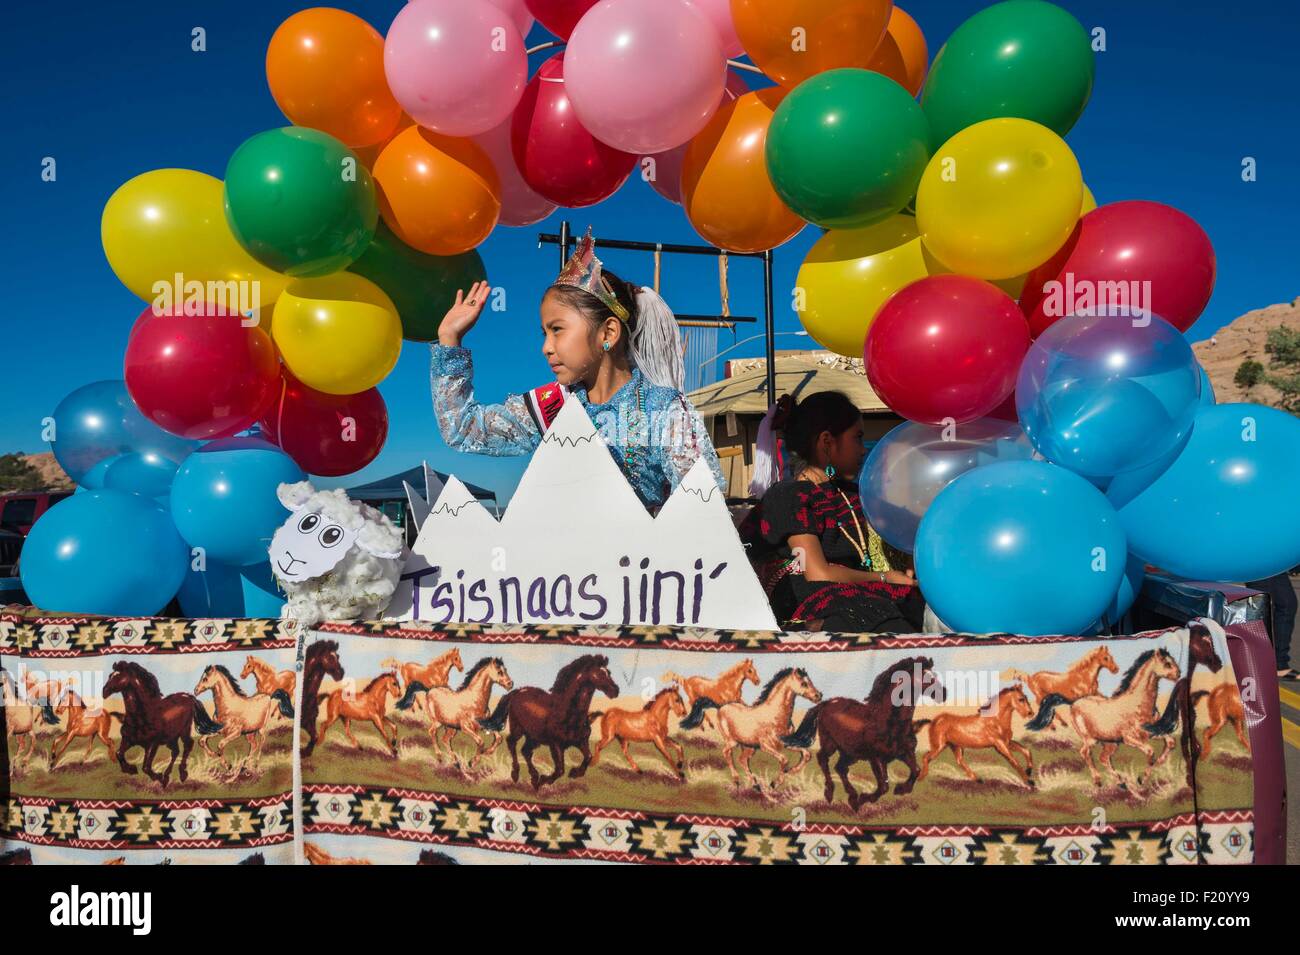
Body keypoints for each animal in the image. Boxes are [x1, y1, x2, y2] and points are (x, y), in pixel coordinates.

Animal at [102, 660, 222, 789]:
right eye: (110, 675)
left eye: (118, 676)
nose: (104, 691)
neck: (142, 716)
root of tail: (188, 696)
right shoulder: (128, 740)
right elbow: (119, 754)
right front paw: (131, 769)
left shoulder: (152, 744)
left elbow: (146, 767)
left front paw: (159, 777)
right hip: (172, 737)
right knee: (175, 751)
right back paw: (167, 775)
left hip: (184, 730)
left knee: (188, 745)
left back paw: (181, 774)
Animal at [478, 654, 618, 789]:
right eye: (600, 673)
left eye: (609, 672)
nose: (616, 690)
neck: (569, 714)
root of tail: (518, 691)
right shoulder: (555, 745)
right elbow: (560, 770)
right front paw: (543, 780)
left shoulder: (581, 741)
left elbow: (588, 757)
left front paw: (574, 773)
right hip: (518, 729)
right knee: (511, 743)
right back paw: (516, 774)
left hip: (533, 737)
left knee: (526, 751)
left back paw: (534, 777)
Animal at [681, 670, 821, 789]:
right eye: (804, 683)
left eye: (810, 681)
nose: (819, 695)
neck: (775, 715)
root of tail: (721, 707)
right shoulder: (766, 746)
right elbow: (784, 759)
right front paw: (775, 783)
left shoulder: (786, 743)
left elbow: (806, 755)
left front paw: (791, 771)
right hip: (732, 741)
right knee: (727, 753)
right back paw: (737, 780)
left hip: (750, 747)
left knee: (742, 760)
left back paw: (755, 784)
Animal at [780, 657, 946, 805]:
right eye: (925, 676)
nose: (943, 693)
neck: (890, 722)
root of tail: (826, 703)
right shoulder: (876, 758)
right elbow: (884, 786)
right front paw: (865, 799)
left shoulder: (905, 753)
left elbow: (916, 770)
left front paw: (901, 789)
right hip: (830, 744)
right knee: (823, 759)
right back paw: (831, 793)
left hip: (850, 752)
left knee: (840, 767)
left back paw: (852, 795)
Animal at [1029, 649, 1185, 789]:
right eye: (1167, 663)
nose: (1178, 674)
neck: (1139, 705)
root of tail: (1073, 702)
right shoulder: (1129, 738)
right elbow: (1150, 752)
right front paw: (1141, 779)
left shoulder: (1152, 732)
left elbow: (1170, 743)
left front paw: (1146, 775)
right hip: (1091, 740)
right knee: (1085, 753)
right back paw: (1098, 781)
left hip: (1111, 743)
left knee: (1103, 758)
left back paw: (1121, 783)